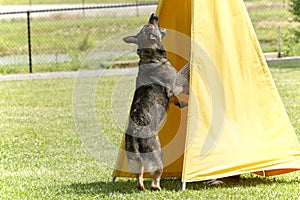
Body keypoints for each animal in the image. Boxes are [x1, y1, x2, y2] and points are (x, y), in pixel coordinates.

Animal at [122, 13, 188, 191]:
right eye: (151, 25)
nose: (153, 15)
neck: (150, 58)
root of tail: (136, 134)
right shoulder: (176, 86)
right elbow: (183, 83)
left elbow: (176, 100)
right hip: (157, 155)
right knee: (154, 177)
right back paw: (157, 187)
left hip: (135, 160)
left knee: (139, 177)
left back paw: (142, 187)